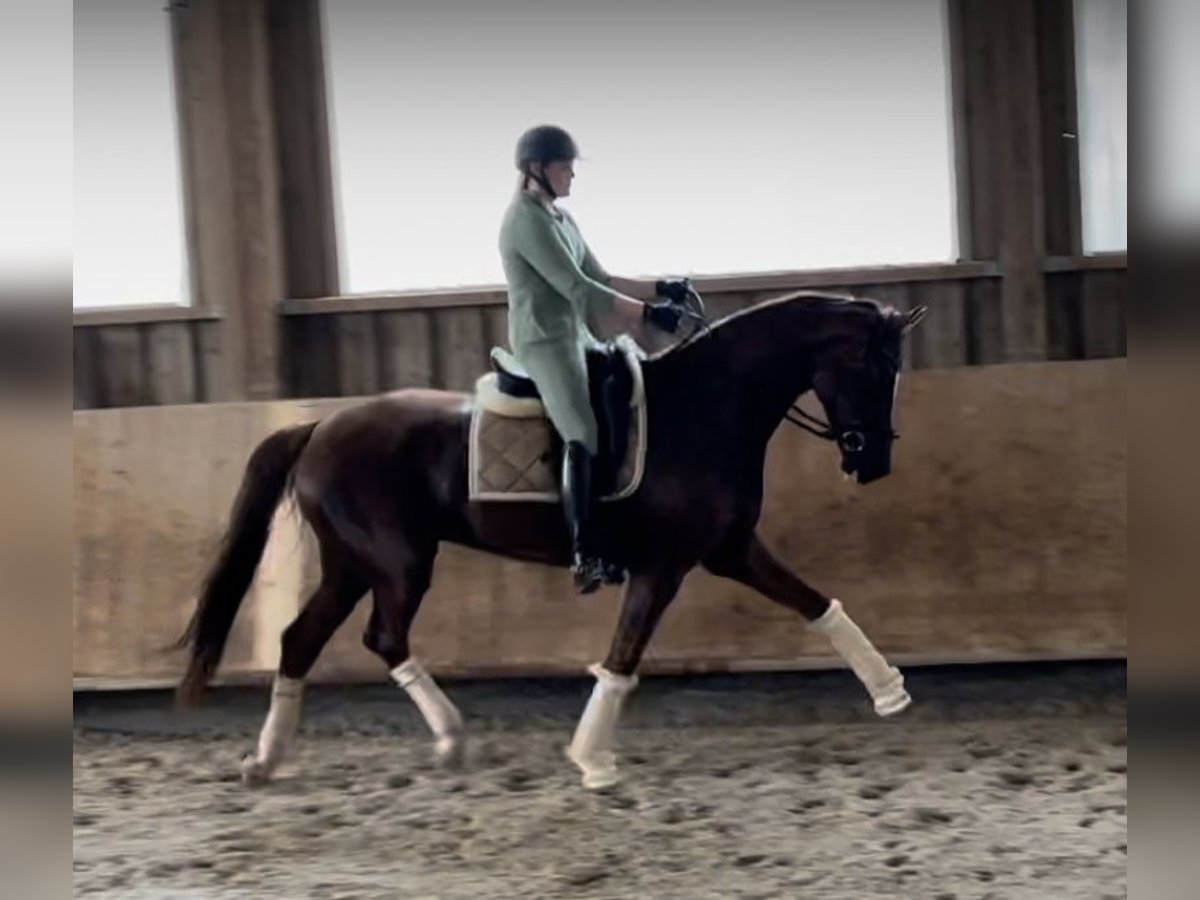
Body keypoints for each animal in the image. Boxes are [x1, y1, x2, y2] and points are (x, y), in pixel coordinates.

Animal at [175, 290, 926, 787]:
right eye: (872, 369)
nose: (875, 464)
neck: (708, 407)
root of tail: (319, 428)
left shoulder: (730, 549)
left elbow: (816, 603)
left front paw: (889, 690)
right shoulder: (664, 566)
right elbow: (623, 655)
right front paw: (592, 758)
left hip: (351, 564)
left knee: (302, 639)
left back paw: (270, 759)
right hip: (396, 562)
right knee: (381, 637)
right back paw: (448, 739)